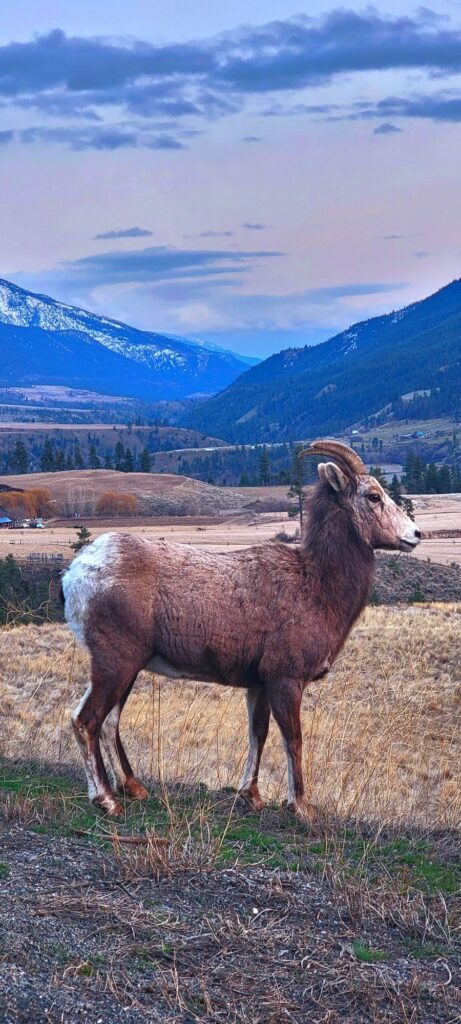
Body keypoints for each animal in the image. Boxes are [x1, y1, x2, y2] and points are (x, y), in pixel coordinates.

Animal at [61, 440, 422, 815]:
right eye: (373, 496)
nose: (415, 534)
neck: (317, 585)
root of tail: (77, 572)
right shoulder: (286, 680)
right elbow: (293, 739)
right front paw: (300, 807)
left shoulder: (258, 684)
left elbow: (257, 734)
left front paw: (252, 795)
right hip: (116, 663)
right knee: (86, 720)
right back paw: (107, 801)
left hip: (126, 668)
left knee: (107, 722)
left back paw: (134, 788)